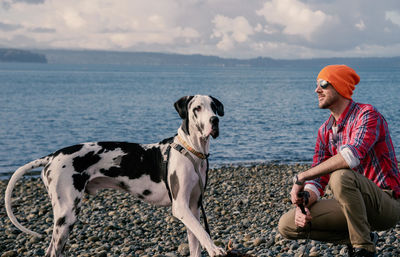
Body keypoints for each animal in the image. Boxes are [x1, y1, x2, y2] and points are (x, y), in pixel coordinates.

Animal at [3, 94, 225, 256]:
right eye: (197, 108)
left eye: (214, 107)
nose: (214, 120)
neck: (192, 151)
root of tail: (52, 156)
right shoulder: (180, 207)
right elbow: (203, 233)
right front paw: (215, 249)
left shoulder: (194, 207)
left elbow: (197, 239)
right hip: (67, 214)